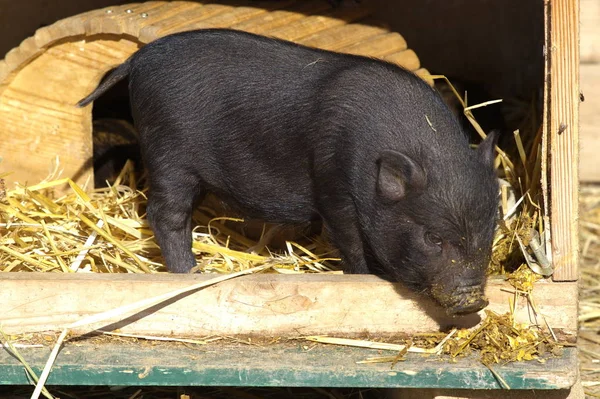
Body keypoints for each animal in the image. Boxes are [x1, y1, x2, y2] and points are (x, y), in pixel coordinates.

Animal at [79, 28, 502, 316]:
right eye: (433, 237)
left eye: (491, 229)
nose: (471, 301)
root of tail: (138, 59)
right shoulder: (333, 187)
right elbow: (351, 244)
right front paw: (366, 276)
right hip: (169, 155)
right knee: (165, 215)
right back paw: (190, 275)